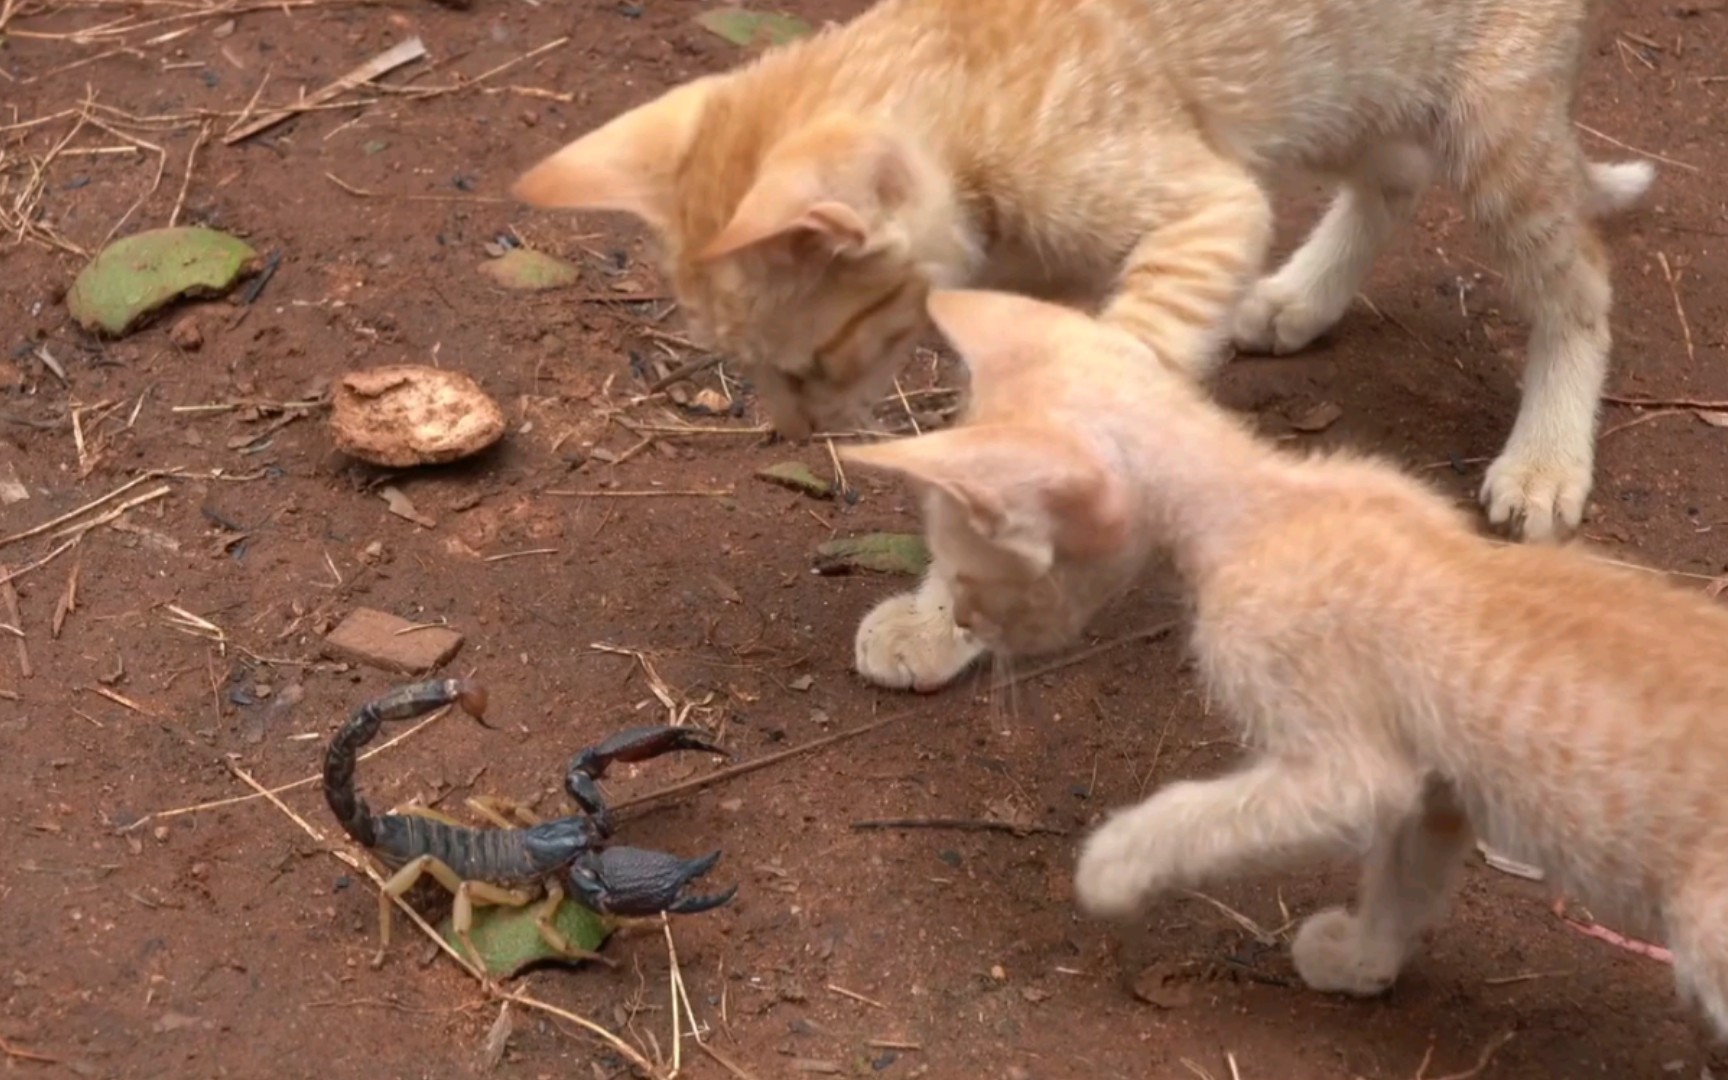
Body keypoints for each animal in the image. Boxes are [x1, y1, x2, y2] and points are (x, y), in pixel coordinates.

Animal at [508, 0, 1645, 539]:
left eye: (806, 363)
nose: (788, 431)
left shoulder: (1207, 209)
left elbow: (1088, 390)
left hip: (1484, 120)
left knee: (1580, 281)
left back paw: (1547, 458)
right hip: (1333, 87)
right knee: (1396, 175)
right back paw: (1299, 298)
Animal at [853, 286, 1728, 1043]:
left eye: (971, 569)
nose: (966, 619)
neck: (1268, 502)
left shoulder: (1350, 768)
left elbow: (1205, 814)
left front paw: (1111, 866)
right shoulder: (1434, 778)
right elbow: (1406, 875)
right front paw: (1363, 960)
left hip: (1707, 929)